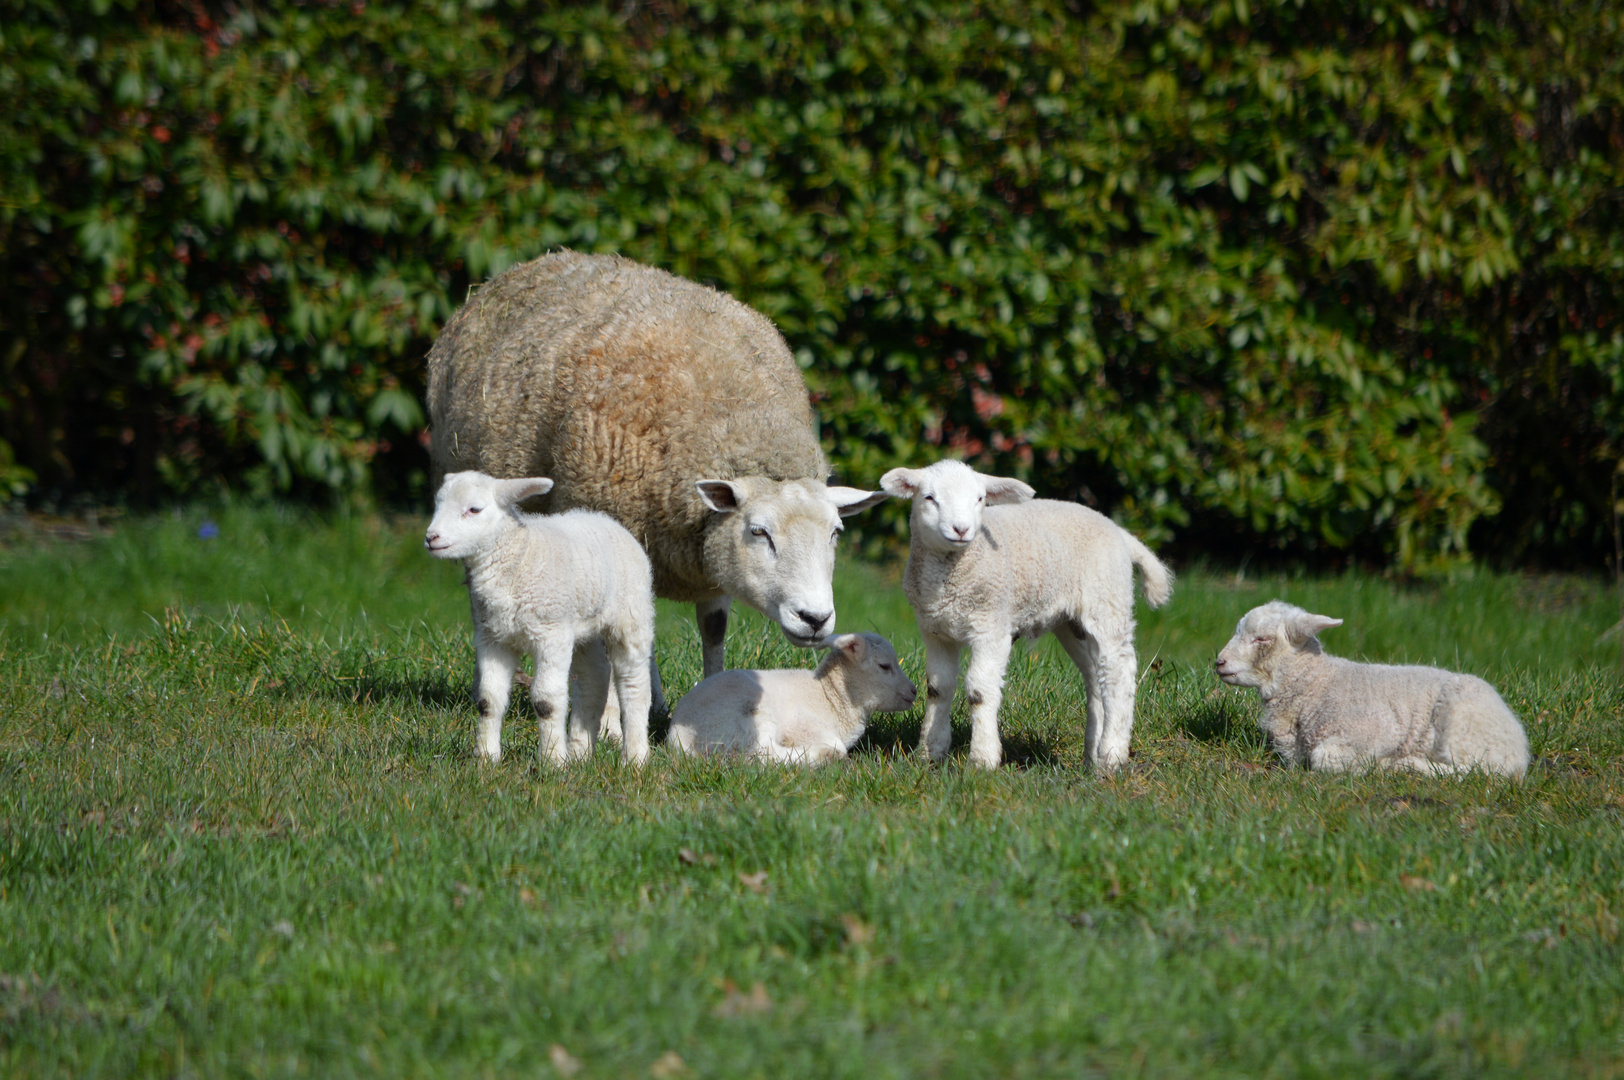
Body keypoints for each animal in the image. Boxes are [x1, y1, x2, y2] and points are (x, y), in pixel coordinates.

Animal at [422, 470, 656, 766]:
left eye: (474, 509)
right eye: (438, 504)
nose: (431, 538)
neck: (518, 557)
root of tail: (606, 519)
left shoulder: (550, 634)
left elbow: (547, 702)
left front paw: (552, 761)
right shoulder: (492, 638)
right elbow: (488, 700)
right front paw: (486, 758)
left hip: (630, 616)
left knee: (634, 683)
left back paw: (634, 757)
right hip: (582, 625)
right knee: (593, 678)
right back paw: (580, 753)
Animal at [659, 626, 915, 763]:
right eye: (884, 666)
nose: (914, 690)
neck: (830, 696)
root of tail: (678, 738)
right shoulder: (802, 724)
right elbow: (835, 743)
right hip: (746, 712)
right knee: (763, 753)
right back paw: (822, 755)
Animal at [876, 457, 1169, 769]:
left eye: (980, 499)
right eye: (929, 498)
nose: (961, 529)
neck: (948, 579)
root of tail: (1117, 530)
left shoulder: (991, 626)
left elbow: (980, 692)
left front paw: (983, 759)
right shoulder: (935, 630)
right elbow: (938, 688)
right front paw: (930, 753)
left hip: (1107, 600)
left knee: (1118, 671)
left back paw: (1113, 754)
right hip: (1072, 622)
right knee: (1095, 676)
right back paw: (1094, 758)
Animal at [1221, 597, 1533, 776]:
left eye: (1261, 639)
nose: (1219, 662)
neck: (1316, 685)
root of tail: (1520, 747)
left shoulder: (1376, 732)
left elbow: (1323, 758)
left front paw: (1371, 765)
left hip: (1464, 729)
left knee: (1478, 770)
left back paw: (1407, 765)